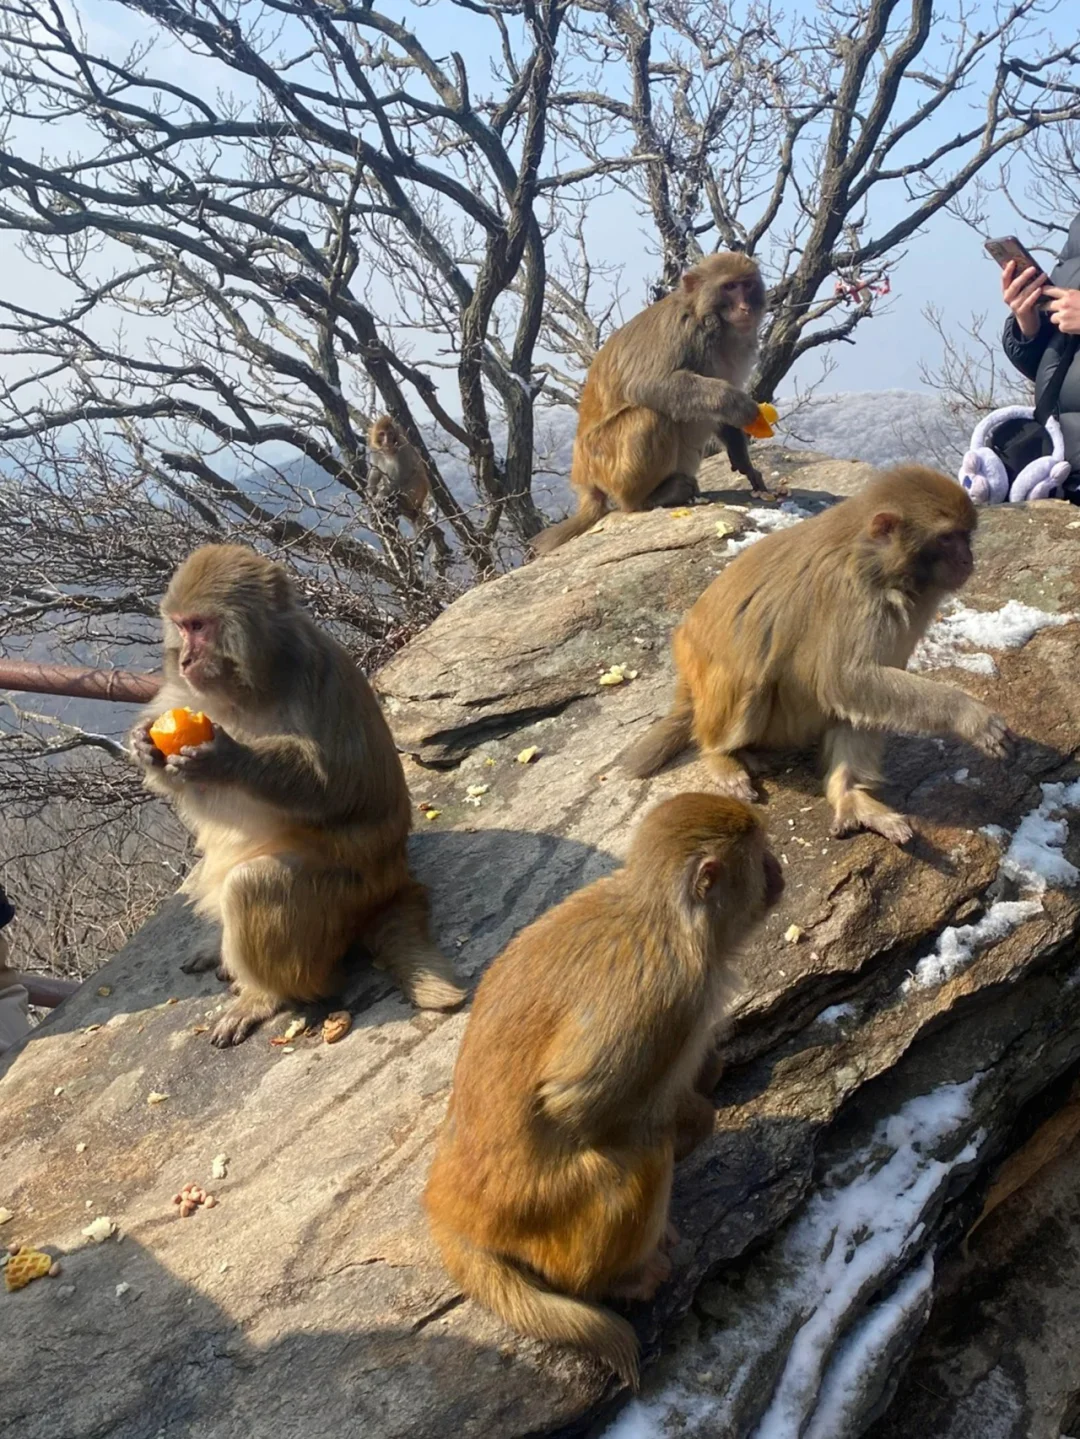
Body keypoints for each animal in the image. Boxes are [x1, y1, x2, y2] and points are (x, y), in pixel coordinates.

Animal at [127, 541, 465, 1047]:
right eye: (181, 626)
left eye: (200, 627)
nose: (183, 660)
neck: (250, 685)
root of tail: (392, 880)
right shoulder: (182, 694)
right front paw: (145, 746)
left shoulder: (317, 677)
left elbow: (336, 786)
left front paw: (229, 759)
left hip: (347, 897)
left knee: (256, 883)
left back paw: (268, 995)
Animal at [422, 794, 788, 1387]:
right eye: (759, 858)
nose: (778, 870)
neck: (670, 917)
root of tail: (450, 1209)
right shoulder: (670, 993)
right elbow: (574, 1102)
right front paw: (693, 1118)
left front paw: (707, 1078)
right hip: (550, 1221)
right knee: (640, 1154)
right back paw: (619, 1276)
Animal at [534, 254, 776, 555]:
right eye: (729, 287)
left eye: (747, 285)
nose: (744, 307)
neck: (710, 322)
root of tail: (583, 477)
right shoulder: (682, 332)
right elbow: (648, 384)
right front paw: (739, 404)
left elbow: (721, 416)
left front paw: (743, 460)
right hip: (608, 463)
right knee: (649, 414)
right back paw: (646, 499)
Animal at [621, 460, 1018, 840]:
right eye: (948, 538)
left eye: (965, 536)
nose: (968, 559)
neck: (876, 566)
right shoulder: (849, 595)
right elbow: (843, 678)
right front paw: (969, 715)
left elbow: (855, 687)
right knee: (751, 675)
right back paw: (719, 756)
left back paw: (847, 793)